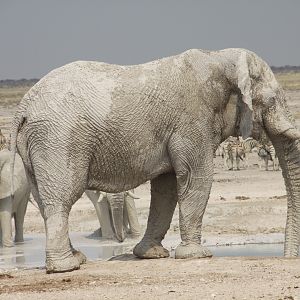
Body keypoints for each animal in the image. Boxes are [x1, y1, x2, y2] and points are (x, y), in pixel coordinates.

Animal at [9, 48, 300, 274]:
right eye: (272, 100)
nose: (286, 258)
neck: (220, 58)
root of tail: (23, 107)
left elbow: (166, 186)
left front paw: (150, 254)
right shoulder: (192, 120)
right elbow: (196, 177)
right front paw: (196, 255)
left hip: (39, 144)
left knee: (46, 200)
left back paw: (76, 259)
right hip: (58, 139)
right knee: (62, 199)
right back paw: (66, 267)